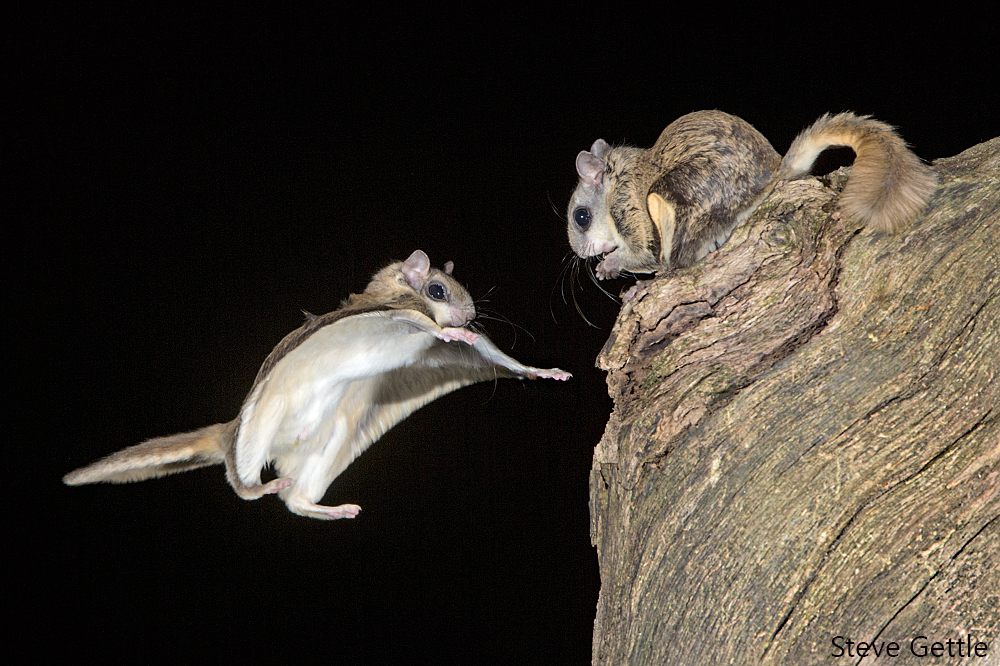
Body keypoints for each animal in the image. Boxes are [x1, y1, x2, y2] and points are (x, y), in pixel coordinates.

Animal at [64, 249, 572, 520]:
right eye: (437, 290)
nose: (468, 316)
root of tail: (232, 431)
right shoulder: (397, 313)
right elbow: (426, 325)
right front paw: (455, 333)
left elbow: (496, 356)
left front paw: (541, 372)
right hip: (256, 430)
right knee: (240, 480)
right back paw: (259, 488)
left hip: (336, 433)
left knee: (296, 502)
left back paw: (326, 508)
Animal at [572, 110, 936, 276]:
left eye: (581, 217)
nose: (581, 255)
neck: (616, 180)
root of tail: (771, 176)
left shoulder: (629, 206)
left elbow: (642, 254)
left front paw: (610, 265)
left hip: (676, 195)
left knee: (678, 261)